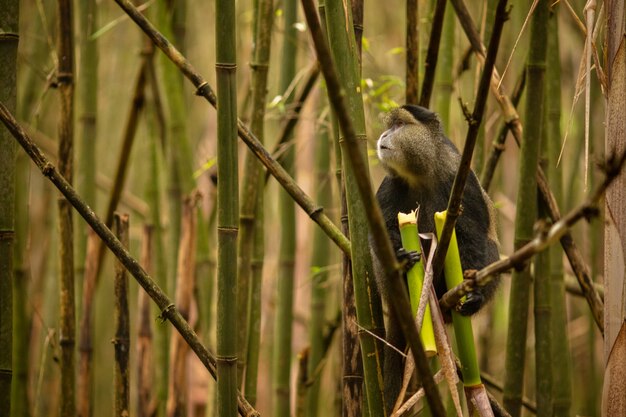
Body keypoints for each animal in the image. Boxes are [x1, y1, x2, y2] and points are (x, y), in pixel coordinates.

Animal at [370, 104, 498, 410]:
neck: (422, 172)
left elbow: (473, 235)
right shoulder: (389, 185)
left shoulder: (460, 181)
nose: (383, 135)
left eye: (399, 125)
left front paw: (473, 294)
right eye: (390, 126)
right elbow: (381, 230)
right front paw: (401, 257)